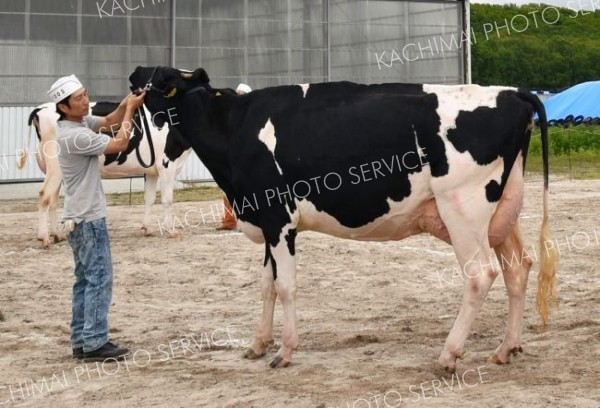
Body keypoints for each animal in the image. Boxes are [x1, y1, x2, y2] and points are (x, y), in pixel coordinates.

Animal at [21, 101, 191, 249]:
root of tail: (42, 108)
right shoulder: (167, 164)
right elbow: (167, 200)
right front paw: (172, 230)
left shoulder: (151, 170)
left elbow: (149, 199)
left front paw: (147, 229)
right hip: (55, 167)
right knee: (44, 195)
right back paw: (44, 238)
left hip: (54, 171)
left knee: (53, 199)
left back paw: (57, 235)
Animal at [130, 66, 556, 372]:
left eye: (155, 83)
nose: (133, 81)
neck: (235, 127)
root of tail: (511, 92)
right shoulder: (269, 224)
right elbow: (266, 286)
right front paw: (257, 345)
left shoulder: (278, 219)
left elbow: (285, 286)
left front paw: (284, 351)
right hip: (502, 211)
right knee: (518, 267)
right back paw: (505, 348)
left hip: (463, 208)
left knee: (481, 274)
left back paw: (448, 355)